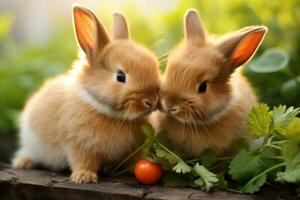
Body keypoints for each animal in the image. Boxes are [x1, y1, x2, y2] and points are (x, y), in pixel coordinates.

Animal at [12, 4, 161, 184]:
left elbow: (134, 160)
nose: (151, 101)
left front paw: (134, 169)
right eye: (120, 76)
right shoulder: (80, 145)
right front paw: (84, 177)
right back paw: (23, 162)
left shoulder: (134, 148)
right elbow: (83, 161)